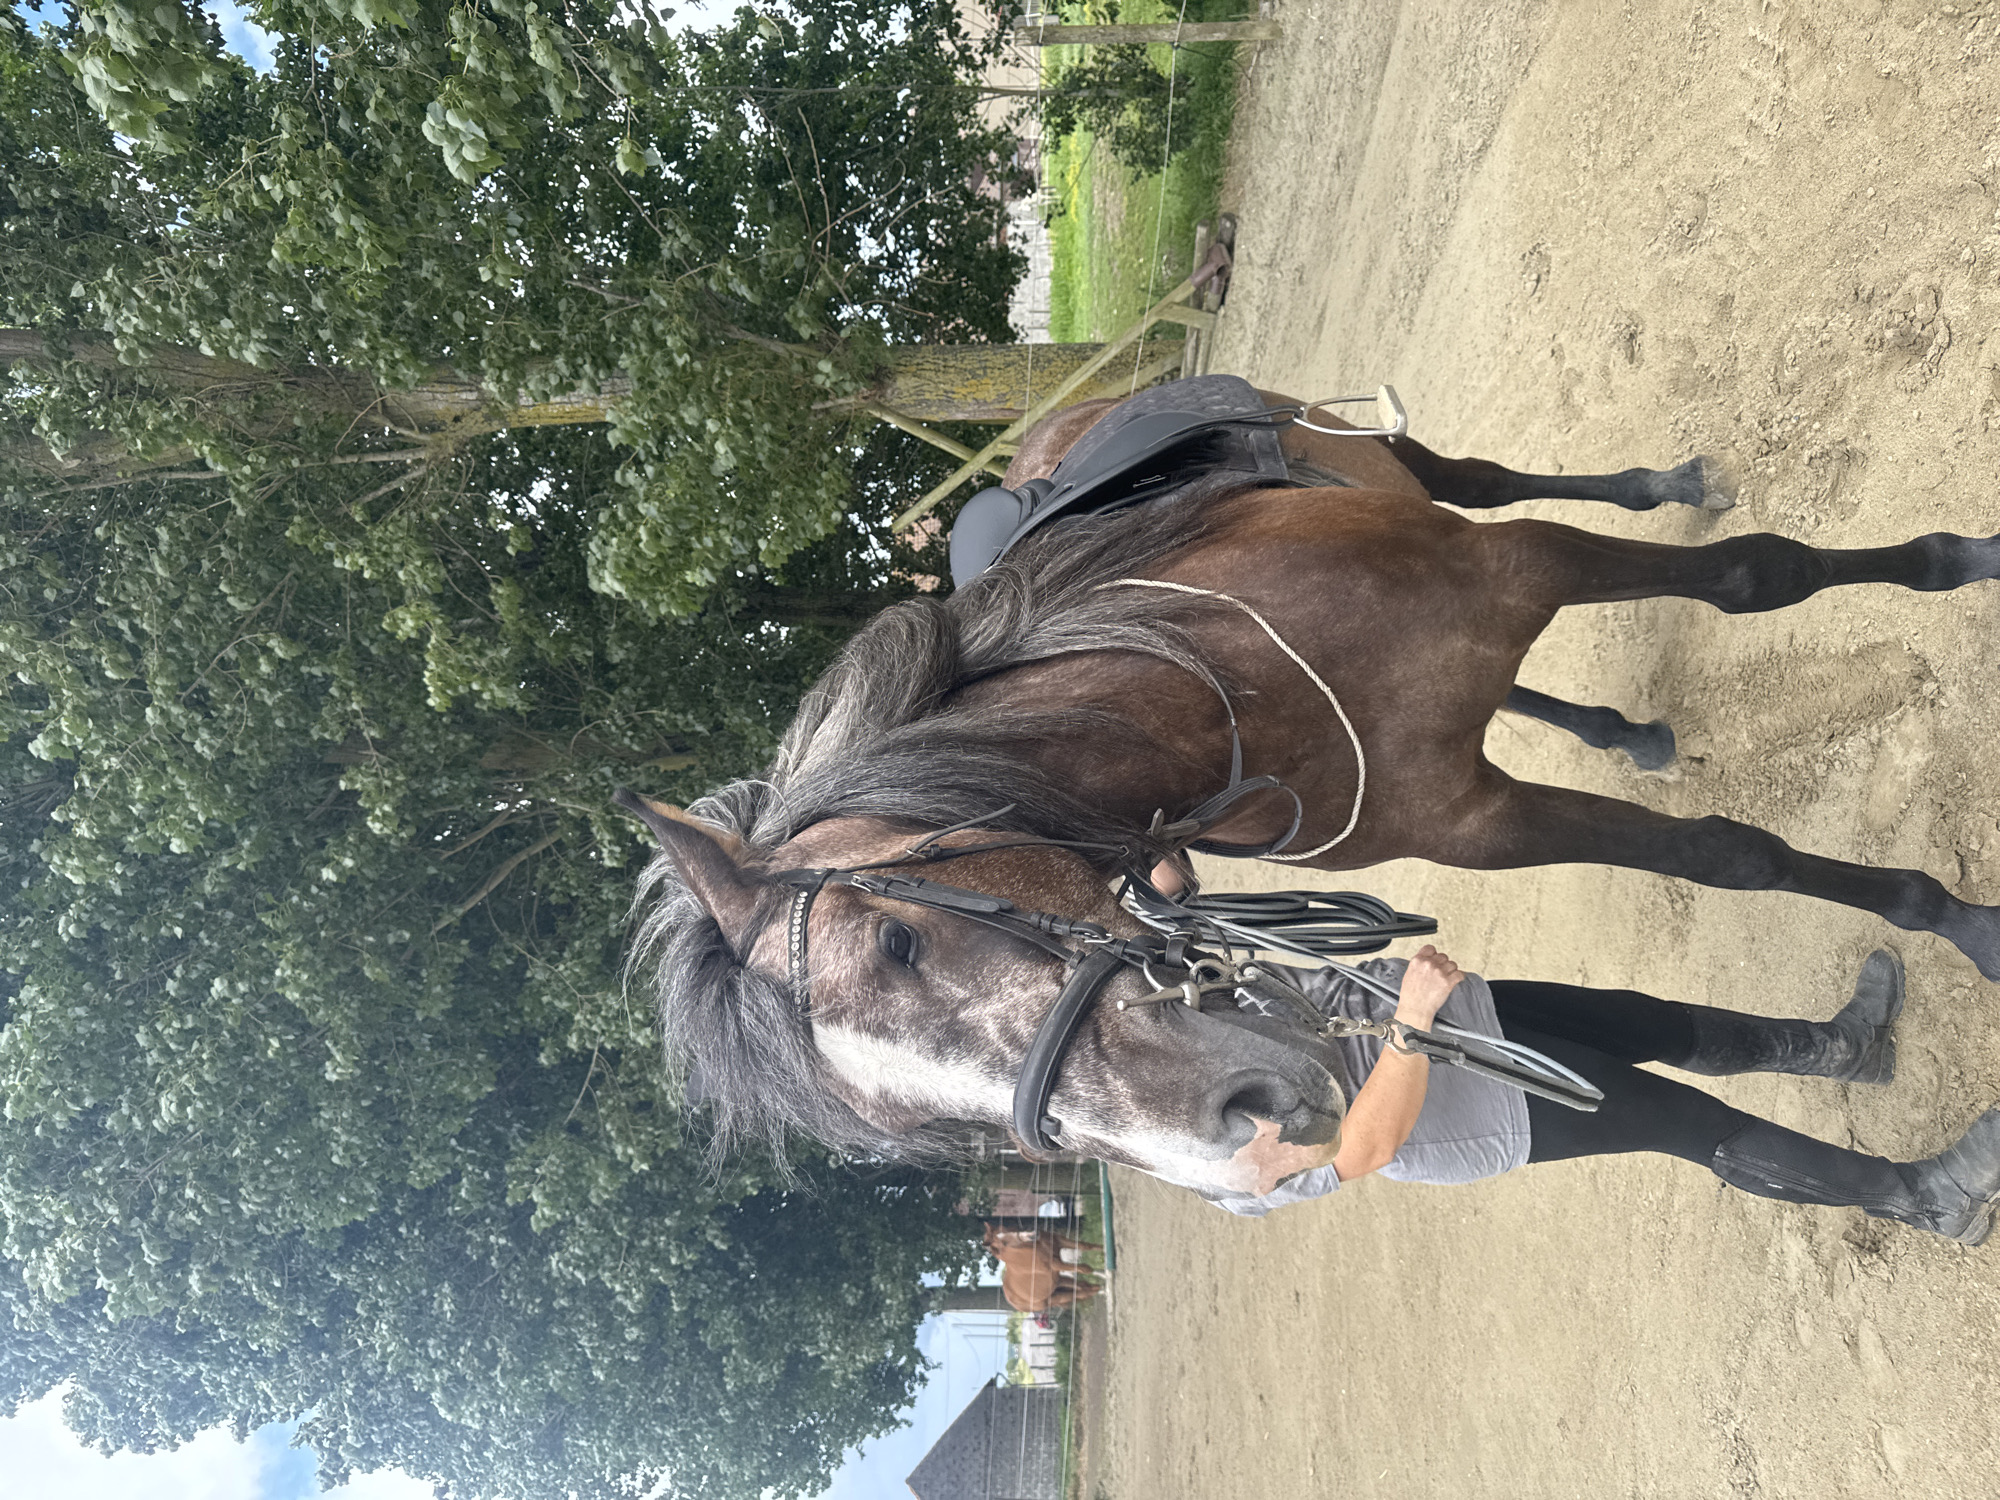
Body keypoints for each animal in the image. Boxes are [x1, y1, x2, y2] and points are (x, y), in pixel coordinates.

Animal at [620, 383, 2000, 1199]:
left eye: (898, 943)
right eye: (921, 1135)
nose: (1233, 1123)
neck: (1226, 687)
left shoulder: (1521, 564)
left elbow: (1758, 584)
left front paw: (1964, 919)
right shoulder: (1468, 819)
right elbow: (1724, 854)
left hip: (1393, 458)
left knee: (1480, 472)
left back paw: (1658, 493)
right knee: (1523, 688)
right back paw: (1618, 730)